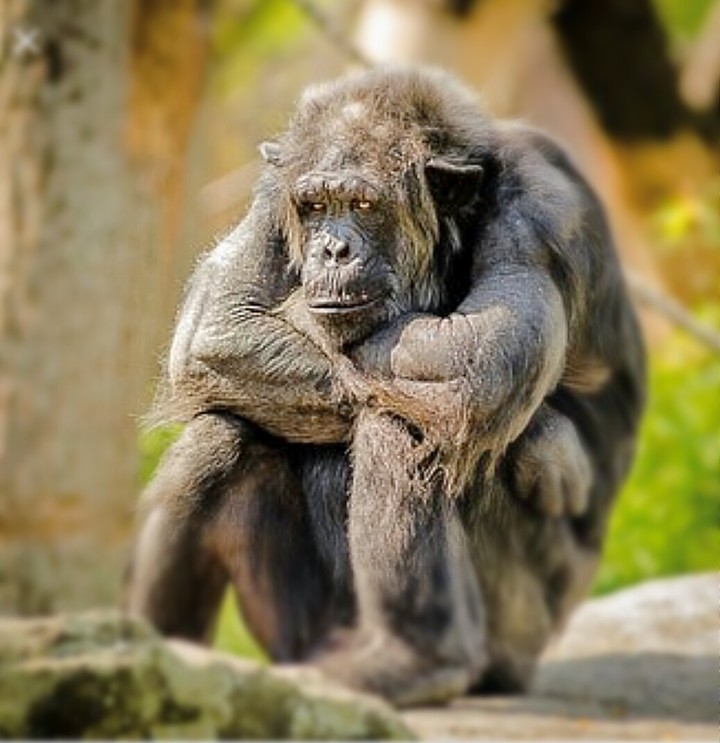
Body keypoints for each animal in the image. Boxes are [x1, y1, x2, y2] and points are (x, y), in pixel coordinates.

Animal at [125, 65, 645, 707]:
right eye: (315, 205)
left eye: (364, 204)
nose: (332, 247)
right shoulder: (274, 191)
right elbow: (219, 323)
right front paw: (549, 435)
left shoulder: (542, 215)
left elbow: (474, 359)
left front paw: (546, 438)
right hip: (299, 628)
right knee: (217, 437)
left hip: (518, 624)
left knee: (408, 423)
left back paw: (415, 659)